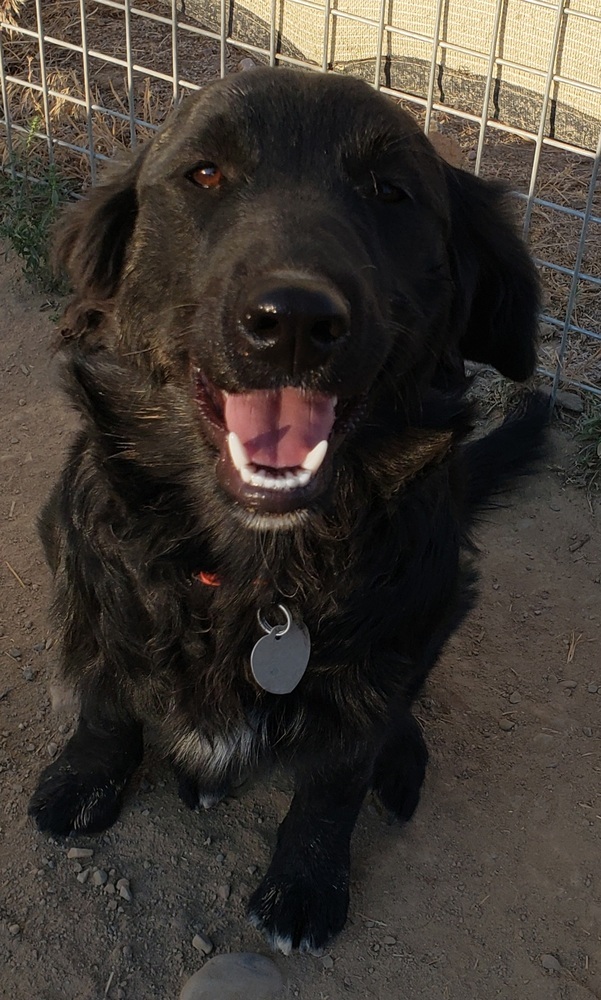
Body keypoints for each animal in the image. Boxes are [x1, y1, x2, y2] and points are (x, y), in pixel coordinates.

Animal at [28, 68, 544, 952]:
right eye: (204, 174)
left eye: (391, 192)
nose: (295, 321)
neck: (259, 575)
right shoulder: (89, 575)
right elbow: (103, 700)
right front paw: (83, 777)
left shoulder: (385, 643)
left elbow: (333, 782)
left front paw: (306, 884)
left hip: (445, 594)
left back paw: (401, 758)